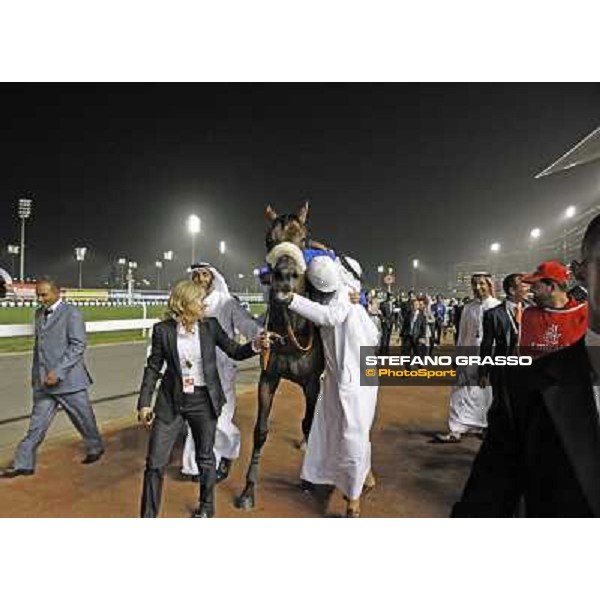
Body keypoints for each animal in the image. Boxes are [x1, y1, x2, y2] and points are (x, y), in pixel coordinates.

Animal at [237, 204, 326, 508]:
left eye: (304, 238)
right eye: (268, 239)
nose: (285, 278)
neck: (292, 332)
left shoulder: (312, 382)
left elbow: (309, 422)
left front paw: (308, 481)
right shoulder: (268, 377)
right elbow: (260, 430)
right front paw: (248, 489)